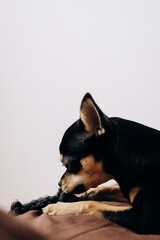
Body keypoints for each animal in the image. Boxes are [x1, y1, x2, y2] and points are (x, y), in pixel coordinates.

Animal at [43, 93, 160, 234]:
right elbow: (104, 188)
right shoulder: (126, 193)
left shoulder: (145, 218)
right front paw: (83, 194)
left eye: (67, 165)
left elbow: (90, 204)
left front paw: (58, 207)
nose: (59, 184)